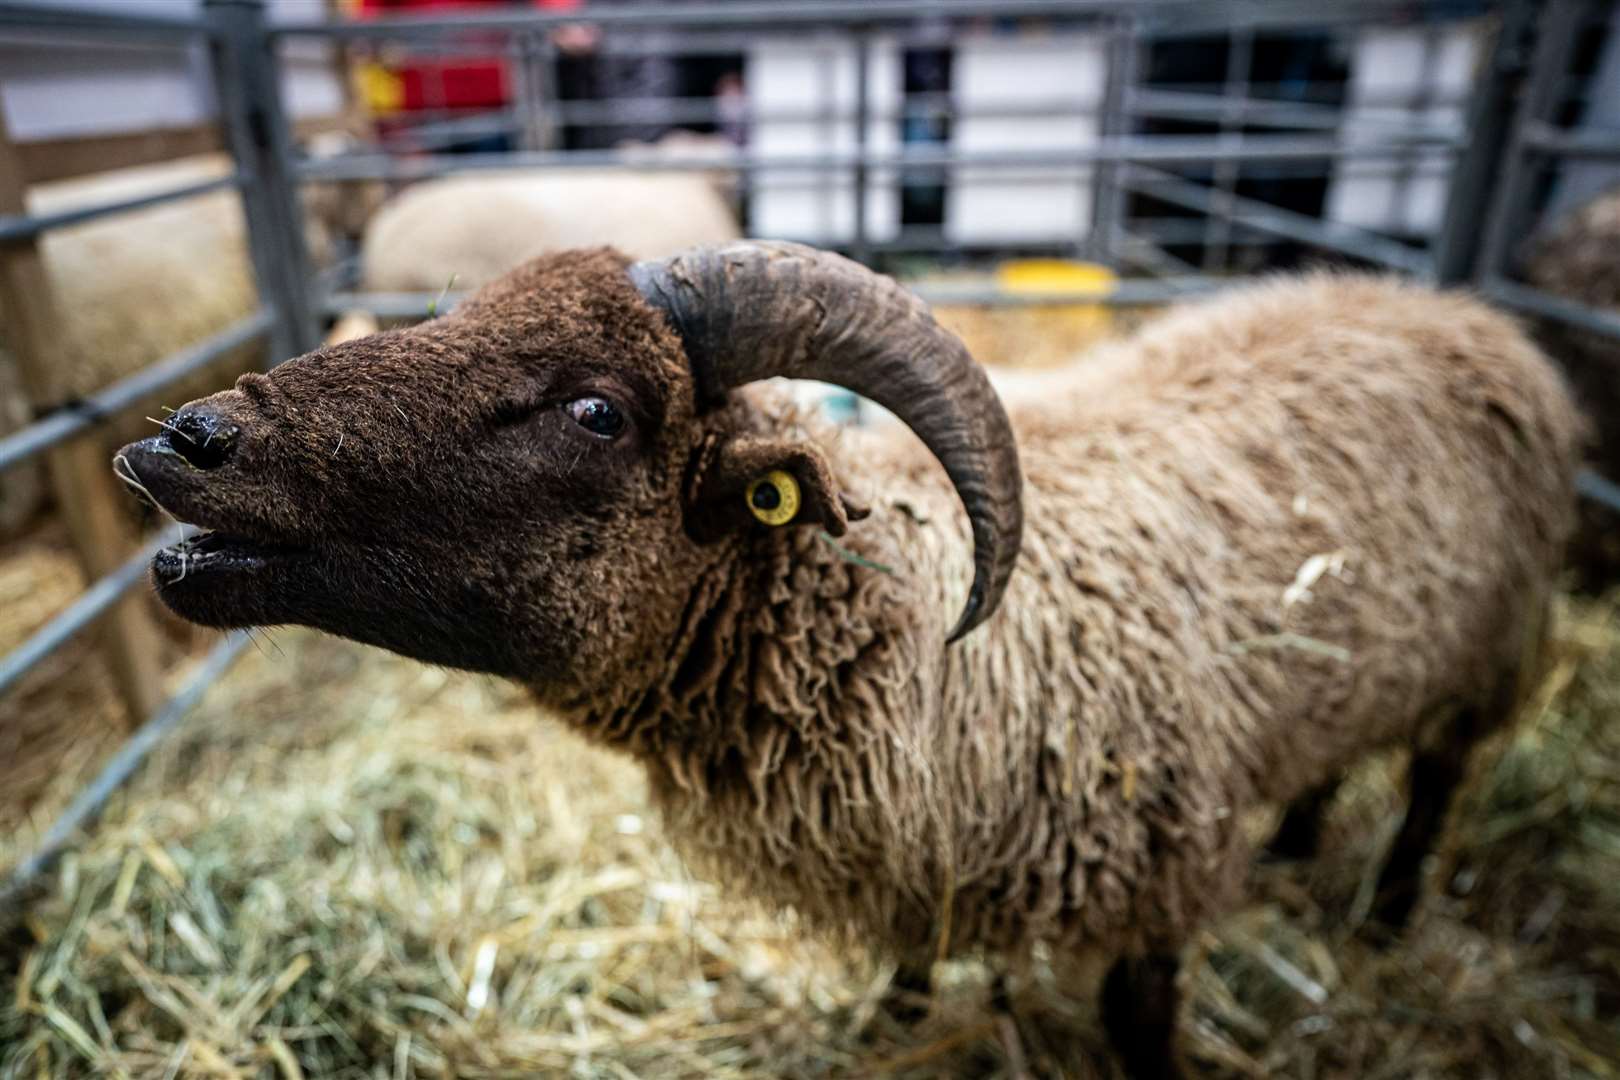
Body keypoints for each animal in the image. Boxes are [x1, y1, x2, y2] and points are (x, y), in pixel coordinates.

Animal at [114, 244, 1581, 1080]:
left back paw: (1386, 914)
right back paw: (1297, 842)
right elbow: (911, 955)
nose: (185, 439)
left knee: (1439, 777)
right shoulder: (928, 842)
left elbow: (1142, 1024)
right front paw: (889, 1023)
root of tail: (1457, 308)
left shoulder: (1156, 875)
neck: (906, 622)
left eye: (596, 410)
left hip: (1491, 647)